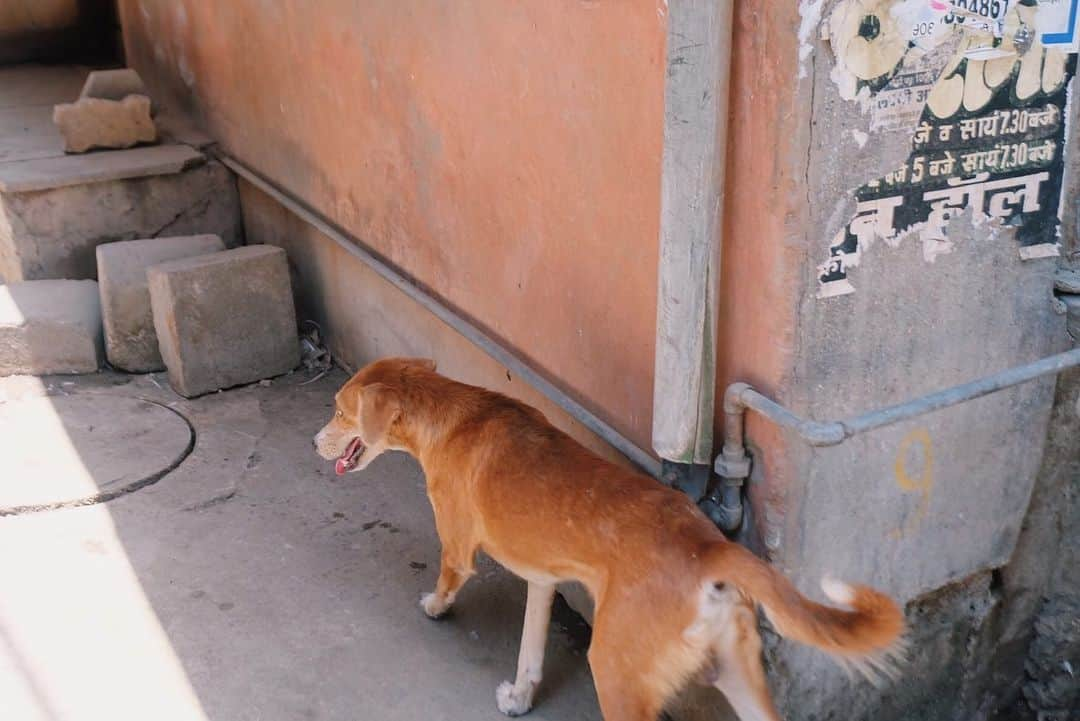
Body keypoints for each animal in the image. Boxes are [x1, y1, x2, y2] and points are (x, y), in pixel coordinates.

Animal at [313, 358, 902, 716]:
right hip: (740, 675)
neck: (451, 413)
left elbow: (446, 579)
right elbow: (530, 651)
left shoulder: (458, 548)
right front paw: (520, 696)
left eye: (340, 411)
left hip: (617, 672)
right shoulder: (544, 580)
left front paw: (434, 607)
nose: (315, 441)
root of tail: (710, 547)